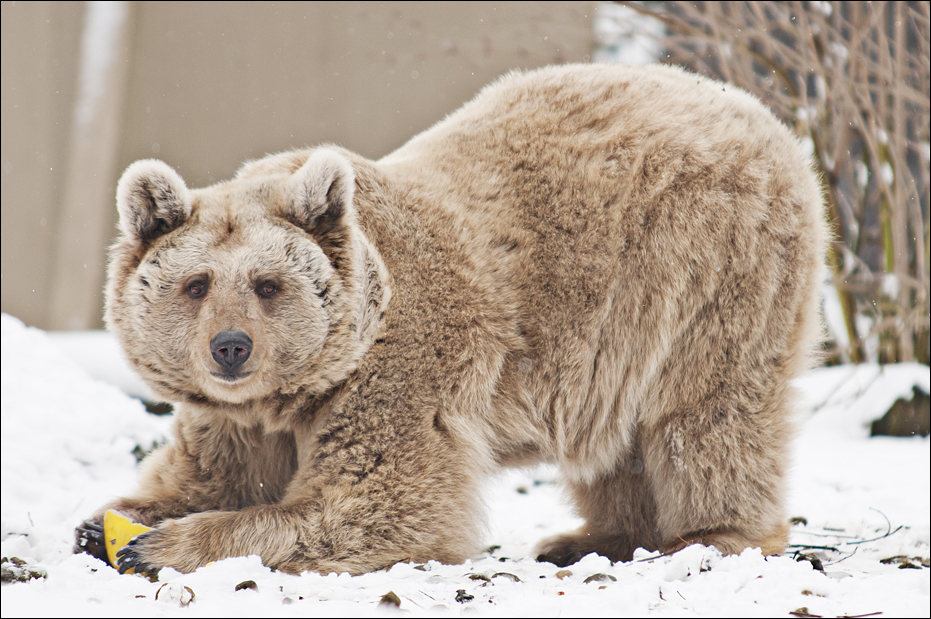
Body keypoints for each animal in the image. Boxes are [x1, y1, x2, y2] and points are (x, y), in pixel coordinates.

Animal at [75, 63, 827, 575]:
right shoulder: (240, 415)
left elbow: (384, 500)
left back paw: (711, 535)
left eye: (267, 284)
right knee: (617, 443)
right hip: (622, 338)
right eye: (196, 284)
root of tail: (764, 115)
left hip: (705, 273)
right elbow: (213, 473)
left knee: (707, 418)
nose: (231, 347)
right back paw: (589, 538)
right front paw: (108, 521)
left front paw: (162, 545)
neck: (301, 388)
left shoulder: (399, 366)